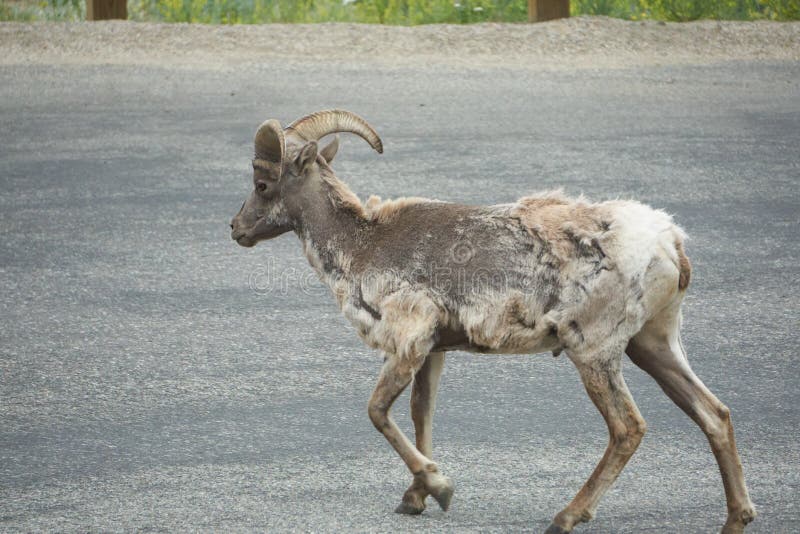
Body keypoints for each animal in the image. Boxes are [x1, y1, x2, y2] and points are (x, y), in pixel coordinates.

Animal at [230, 110, 756, 534]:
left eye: (262, 184)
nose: (236, 229)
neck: (362, 245)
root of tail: (670, 243)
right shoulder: (433, 351)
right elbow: (421, 415)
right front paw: (415, 499)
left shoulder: (408, 343)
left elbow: (378, 412)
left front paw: (440, 488)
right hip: (653, 345)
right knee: (714, 414)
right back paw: (736, 518)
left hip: (595, 352)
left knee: (628, 429)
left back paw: (566, 516)